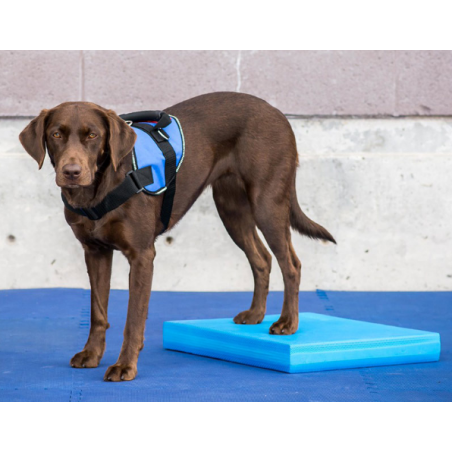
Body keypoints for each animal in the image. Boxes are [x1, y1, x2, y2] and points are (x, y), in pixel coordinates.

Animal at [18, 92, 336, 382]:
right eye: (56, 134)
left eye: (93, 135)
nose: (71, 172)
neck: (99, 190)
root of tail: (277, 112)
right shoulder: (95, 251)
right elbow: (98, 312)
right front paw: (92, 354)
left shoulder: (142, 256)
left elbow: (133, 319)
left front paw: (125, 365)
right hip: (231, 209)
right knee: (262, 259)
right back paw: (256, 314)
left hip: (267, 203)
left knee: (291, 263)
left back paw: (287, 323)